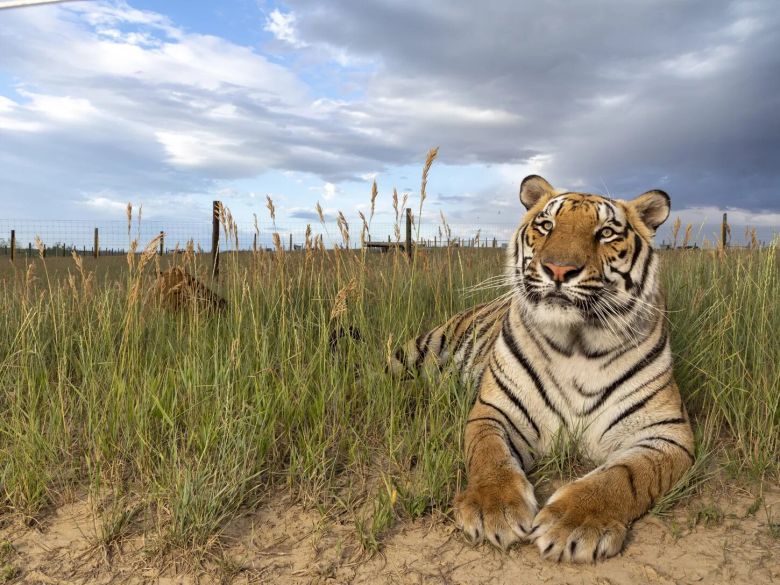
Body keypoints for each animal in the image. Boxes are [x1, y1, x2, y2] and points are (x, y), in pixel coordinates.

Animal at [394, 175, 692, 560]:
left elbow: (624, 475)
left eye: (606, 232)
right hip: (420, 349)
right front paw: (493, 509)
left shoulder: (667, 432)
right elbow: (490, 454)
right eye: (546, 225)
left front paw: (575, 523)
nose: (559, 269)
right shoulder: (495, 410)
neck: (577, 344)